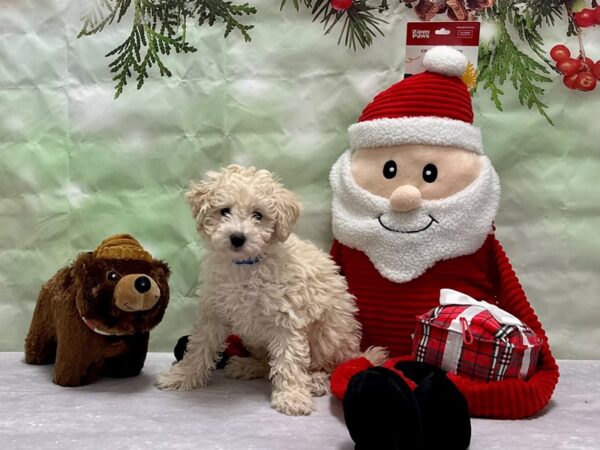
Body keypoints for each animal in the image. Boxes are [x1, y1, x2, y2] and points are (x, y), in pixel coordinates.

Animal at [155, 165, 380, 414]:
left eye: (258, 215)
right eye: (225, 211)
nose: (237, 237)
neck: (245, 265)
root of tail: (355, 351)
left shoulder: (287, 317)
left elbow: (289, 358)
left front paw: (292, 396)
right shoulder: (214, 311)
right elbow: (199, 346)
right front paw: (182, 376)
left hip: (328, 336)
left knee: (333, 366)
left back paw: (315, 380)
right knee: (267, 362)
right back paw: (247, 365)